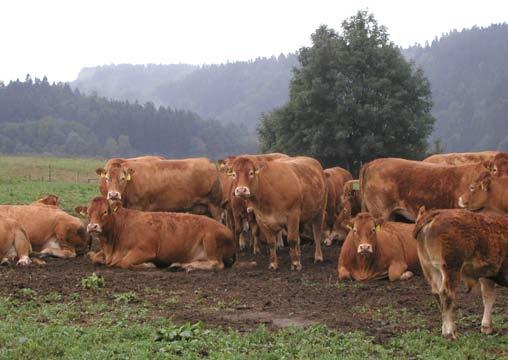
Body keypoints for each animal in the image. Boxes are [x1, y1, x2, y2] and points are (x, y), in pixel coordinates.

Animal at [77, 197, 236, 270]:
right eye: (88, 212)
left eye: (105, 211)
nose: (92, 226)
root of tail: (227, 230)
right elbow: (95, 257)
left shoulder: (145, 250)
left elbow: (124, 262)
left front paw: (148, 265)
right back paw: (179, 264)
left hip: (210, 239)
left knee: (217, 263)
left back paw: (188, 266)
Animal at [414, 208, 506, 340]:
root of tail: (436, 214)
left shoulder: (488, 276)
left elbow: (489, 297)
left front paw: (486, 327)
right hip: (451, 269)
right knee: (447, 294)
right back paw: (450, 333)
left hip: (431, 269)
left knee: (438, 295)